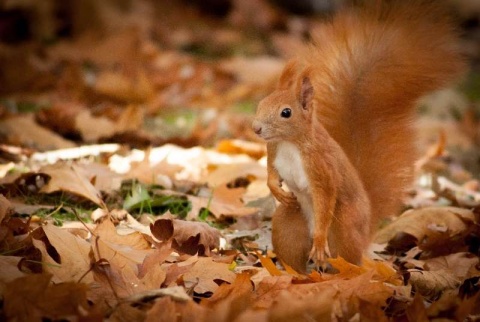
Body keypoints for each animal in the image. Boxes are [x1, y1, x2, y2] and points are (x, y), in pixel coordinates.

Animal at [251, 0, 464, 272]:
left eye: (286, 113)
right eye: (261, 103)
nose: (256, 128)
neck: (291, 143)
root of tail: (366, 232)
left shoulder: (322, 168)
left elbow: (326, 196)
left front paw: (319, 241)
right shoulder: (274, 149)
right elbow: (271, 170)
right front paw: (275, 189)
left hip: (344, 226)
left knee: (349, 258)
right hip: (287, 224)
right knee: (294, 257)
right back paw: (293, 275)